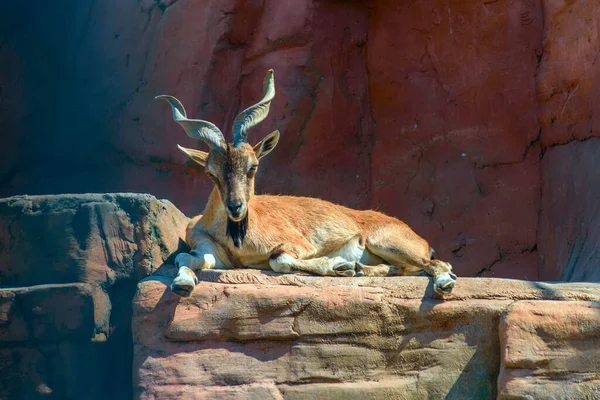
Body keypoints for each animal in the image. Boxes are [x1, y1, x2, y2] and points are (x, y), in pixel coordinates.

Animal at [157, 70, 458, 298]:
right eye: (211, 173)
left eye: (253, 167)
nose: (235, 207)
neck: (238, 239)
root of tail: (418, 237)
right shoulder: (211, 253)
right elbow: (184, 258)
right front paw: (182, 283)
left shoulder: (297, 244)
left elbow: (279, 260)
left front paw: (338, 265)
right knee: (403, 269)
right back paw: (364, 269)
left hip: (387, 242)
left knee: (437, 263)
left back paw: (443, 282)